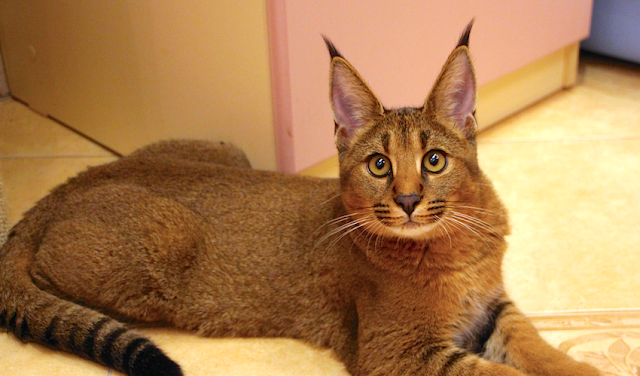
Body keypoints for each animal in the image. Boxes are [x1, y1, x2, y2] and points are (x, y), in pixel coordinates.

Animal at [0, 21, 600, 376]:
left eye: (434, 160)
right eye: (379, 165)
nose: (408, 200)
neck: (454, 241)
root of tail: (68, 185)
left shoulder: (492, 307)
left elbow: (534, 344)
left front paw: (584, 370)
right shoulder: (396, 350)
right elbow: (497, 374)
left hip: (228, 149)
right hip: (163, 242)